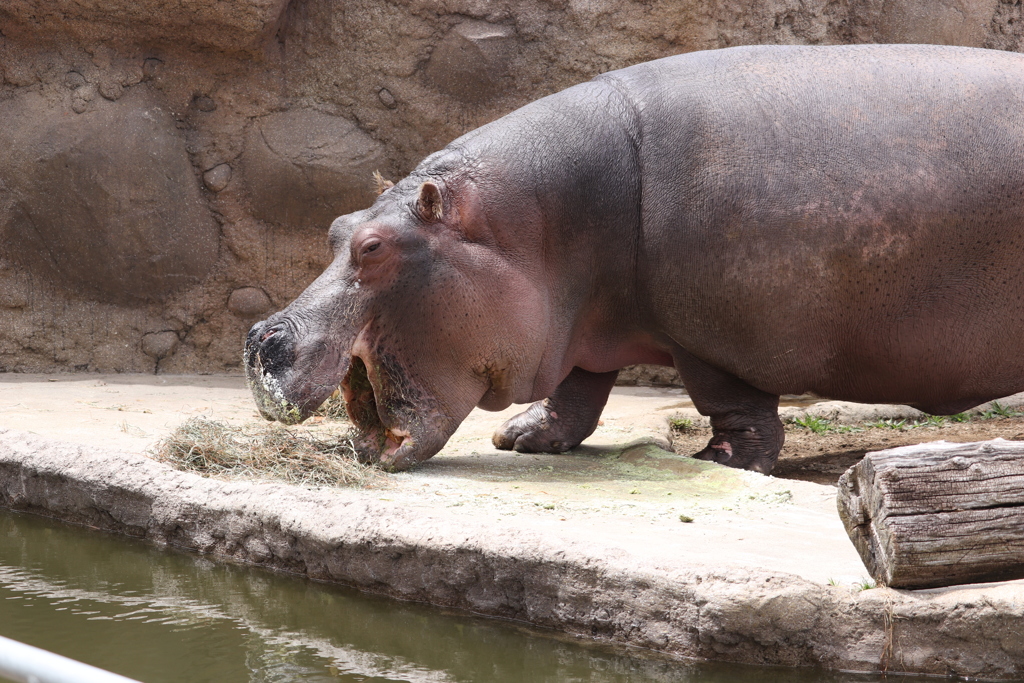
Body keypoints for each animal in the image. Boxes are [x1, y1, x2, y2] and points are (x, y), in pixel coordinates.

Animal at [243, 41, 1024, 471]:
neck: (529, 224)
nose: (259, 340)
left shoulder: (709, 338)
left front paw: (720, 462)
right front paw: (522, 438)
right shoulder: (581, 325)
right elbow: (578, 391)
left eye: (374, 248)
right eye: (337, 226)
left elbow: (734, 406)